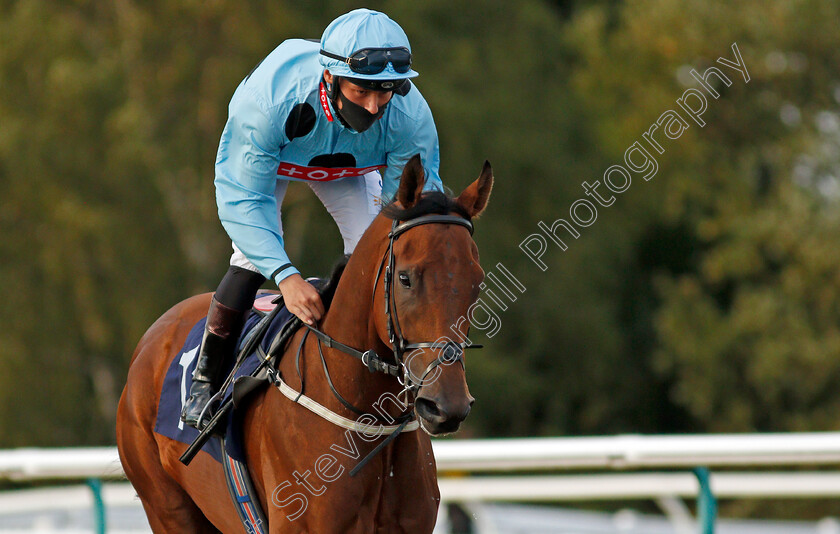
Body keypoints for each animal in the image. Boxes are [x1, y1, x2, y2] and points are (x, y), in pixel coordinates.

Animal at [112, 156, 492, 534]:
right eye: (405, 278)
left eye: (477, 282)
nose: (446, 407)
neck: (367, 422)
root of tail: (152, 337)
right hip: (167, 507)